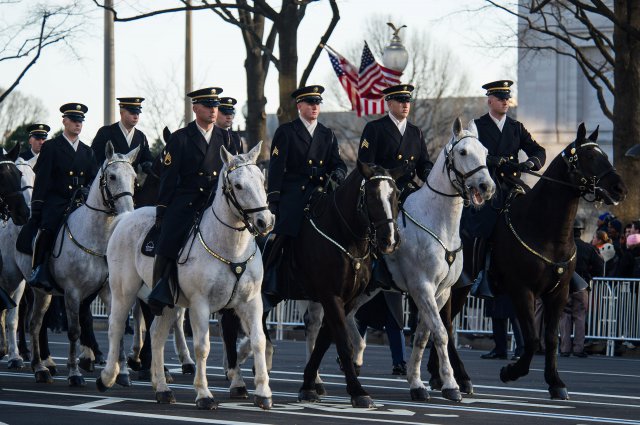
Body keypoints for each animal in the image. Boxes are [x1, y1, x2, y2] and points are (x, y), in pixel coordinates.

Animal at [14, 142, 139, 384]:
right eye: (112, 176)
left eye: (134, 177)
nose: (129, 212)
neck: (96, 235)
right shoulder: (72, 292)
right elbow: (74, 331)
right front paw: (74, 373)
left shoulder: (109, 291)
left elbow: (117, 325)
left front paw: (122, 373)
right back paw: (32, 363)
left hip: (43, 292)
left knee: (35, 324)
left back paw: (40, 367)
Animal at [98, 143, 276, 410]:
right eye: (238, 185)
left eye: (262, 181)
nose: (265, 221)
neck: (231, 247)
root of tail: (126, 217)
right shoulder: (200, 304)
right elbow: (202, 347)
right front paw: (204, 394)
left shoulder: (251, 302)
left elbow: (258, 341)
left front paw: (263, 392)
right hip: (123, 291)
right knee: (116, 327)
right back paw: (109, 376)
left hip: (167, 302)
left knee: (156, 336)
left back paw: (161, 388)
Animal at [428, 122, 628, 398]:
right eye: (589, 156)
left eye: (605, 155)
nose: (620, 188)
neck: (545, 230)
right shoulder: (522, 290)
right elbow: (533, 339)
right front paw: (511, 372)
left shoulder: (558, 293)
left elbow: (551, 338)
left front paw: (556, 382)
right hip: (456, 287)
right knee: (445, 323)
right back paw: (459, 377)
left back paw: (439, 376)